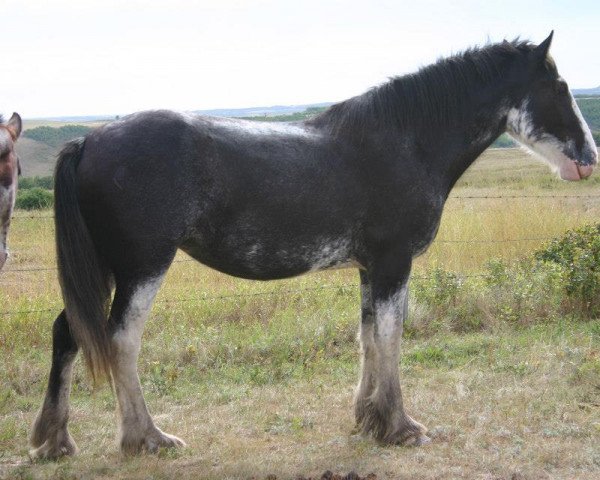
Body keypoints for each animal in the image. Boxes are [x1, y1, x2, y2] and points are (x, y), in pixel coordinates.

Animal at [31, 31, 596, 460]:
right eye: (559, 85)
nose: (589, 158)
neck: (404, 141)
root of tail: (90, 139)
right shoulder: (393, 263)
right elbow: (391, 337)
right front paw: (401, 427)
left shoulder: (371, 267)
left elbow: (368, 337)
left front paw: (368, 419)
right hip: (142, 267)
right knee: (121, 340)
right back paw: (147, 437)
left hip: (109, 269)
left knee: (68, 333)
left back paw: (54, 441)